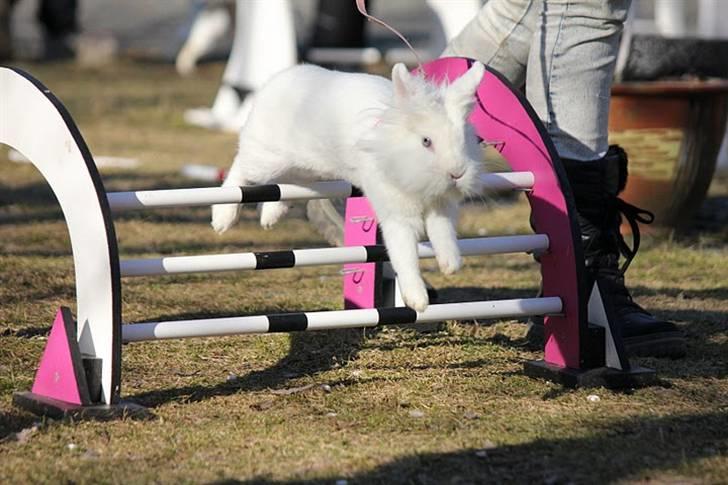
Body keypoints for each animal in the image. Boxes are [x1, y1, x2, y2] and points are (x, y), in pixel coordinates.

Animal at [210, 61, 484, 310]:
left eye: (464, 138)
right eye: (426, 141)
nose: (457, 173)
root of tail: (277, 80)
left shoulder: (441, 208)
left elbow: (443, 234)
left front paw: (450, 265)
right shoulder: (396, 214)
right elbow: (404, 253)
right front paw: (418, 301)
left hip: (305, 168)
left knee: (287, 185)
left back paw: (271, 216)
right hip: (267, 157)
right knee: (240, 168)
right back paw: (223, 218)